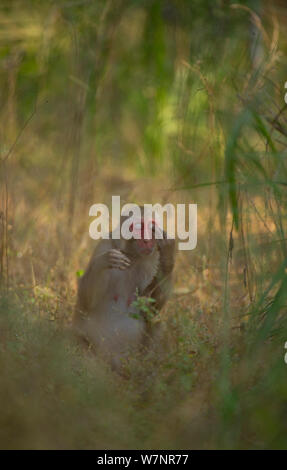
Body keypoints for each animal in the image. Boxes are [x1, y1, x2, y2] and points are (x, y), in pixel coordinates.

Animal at [73, 207, 176, 372]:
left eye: (152, 227)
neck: (132, 255)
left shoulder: (152, 259)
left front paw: (168, 257)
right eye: (139, 227)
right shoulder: (104, 245)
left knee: (158, 326)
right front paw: (104, 262)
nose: (147, 240)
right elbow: (86, 301)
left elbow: (149, 308)